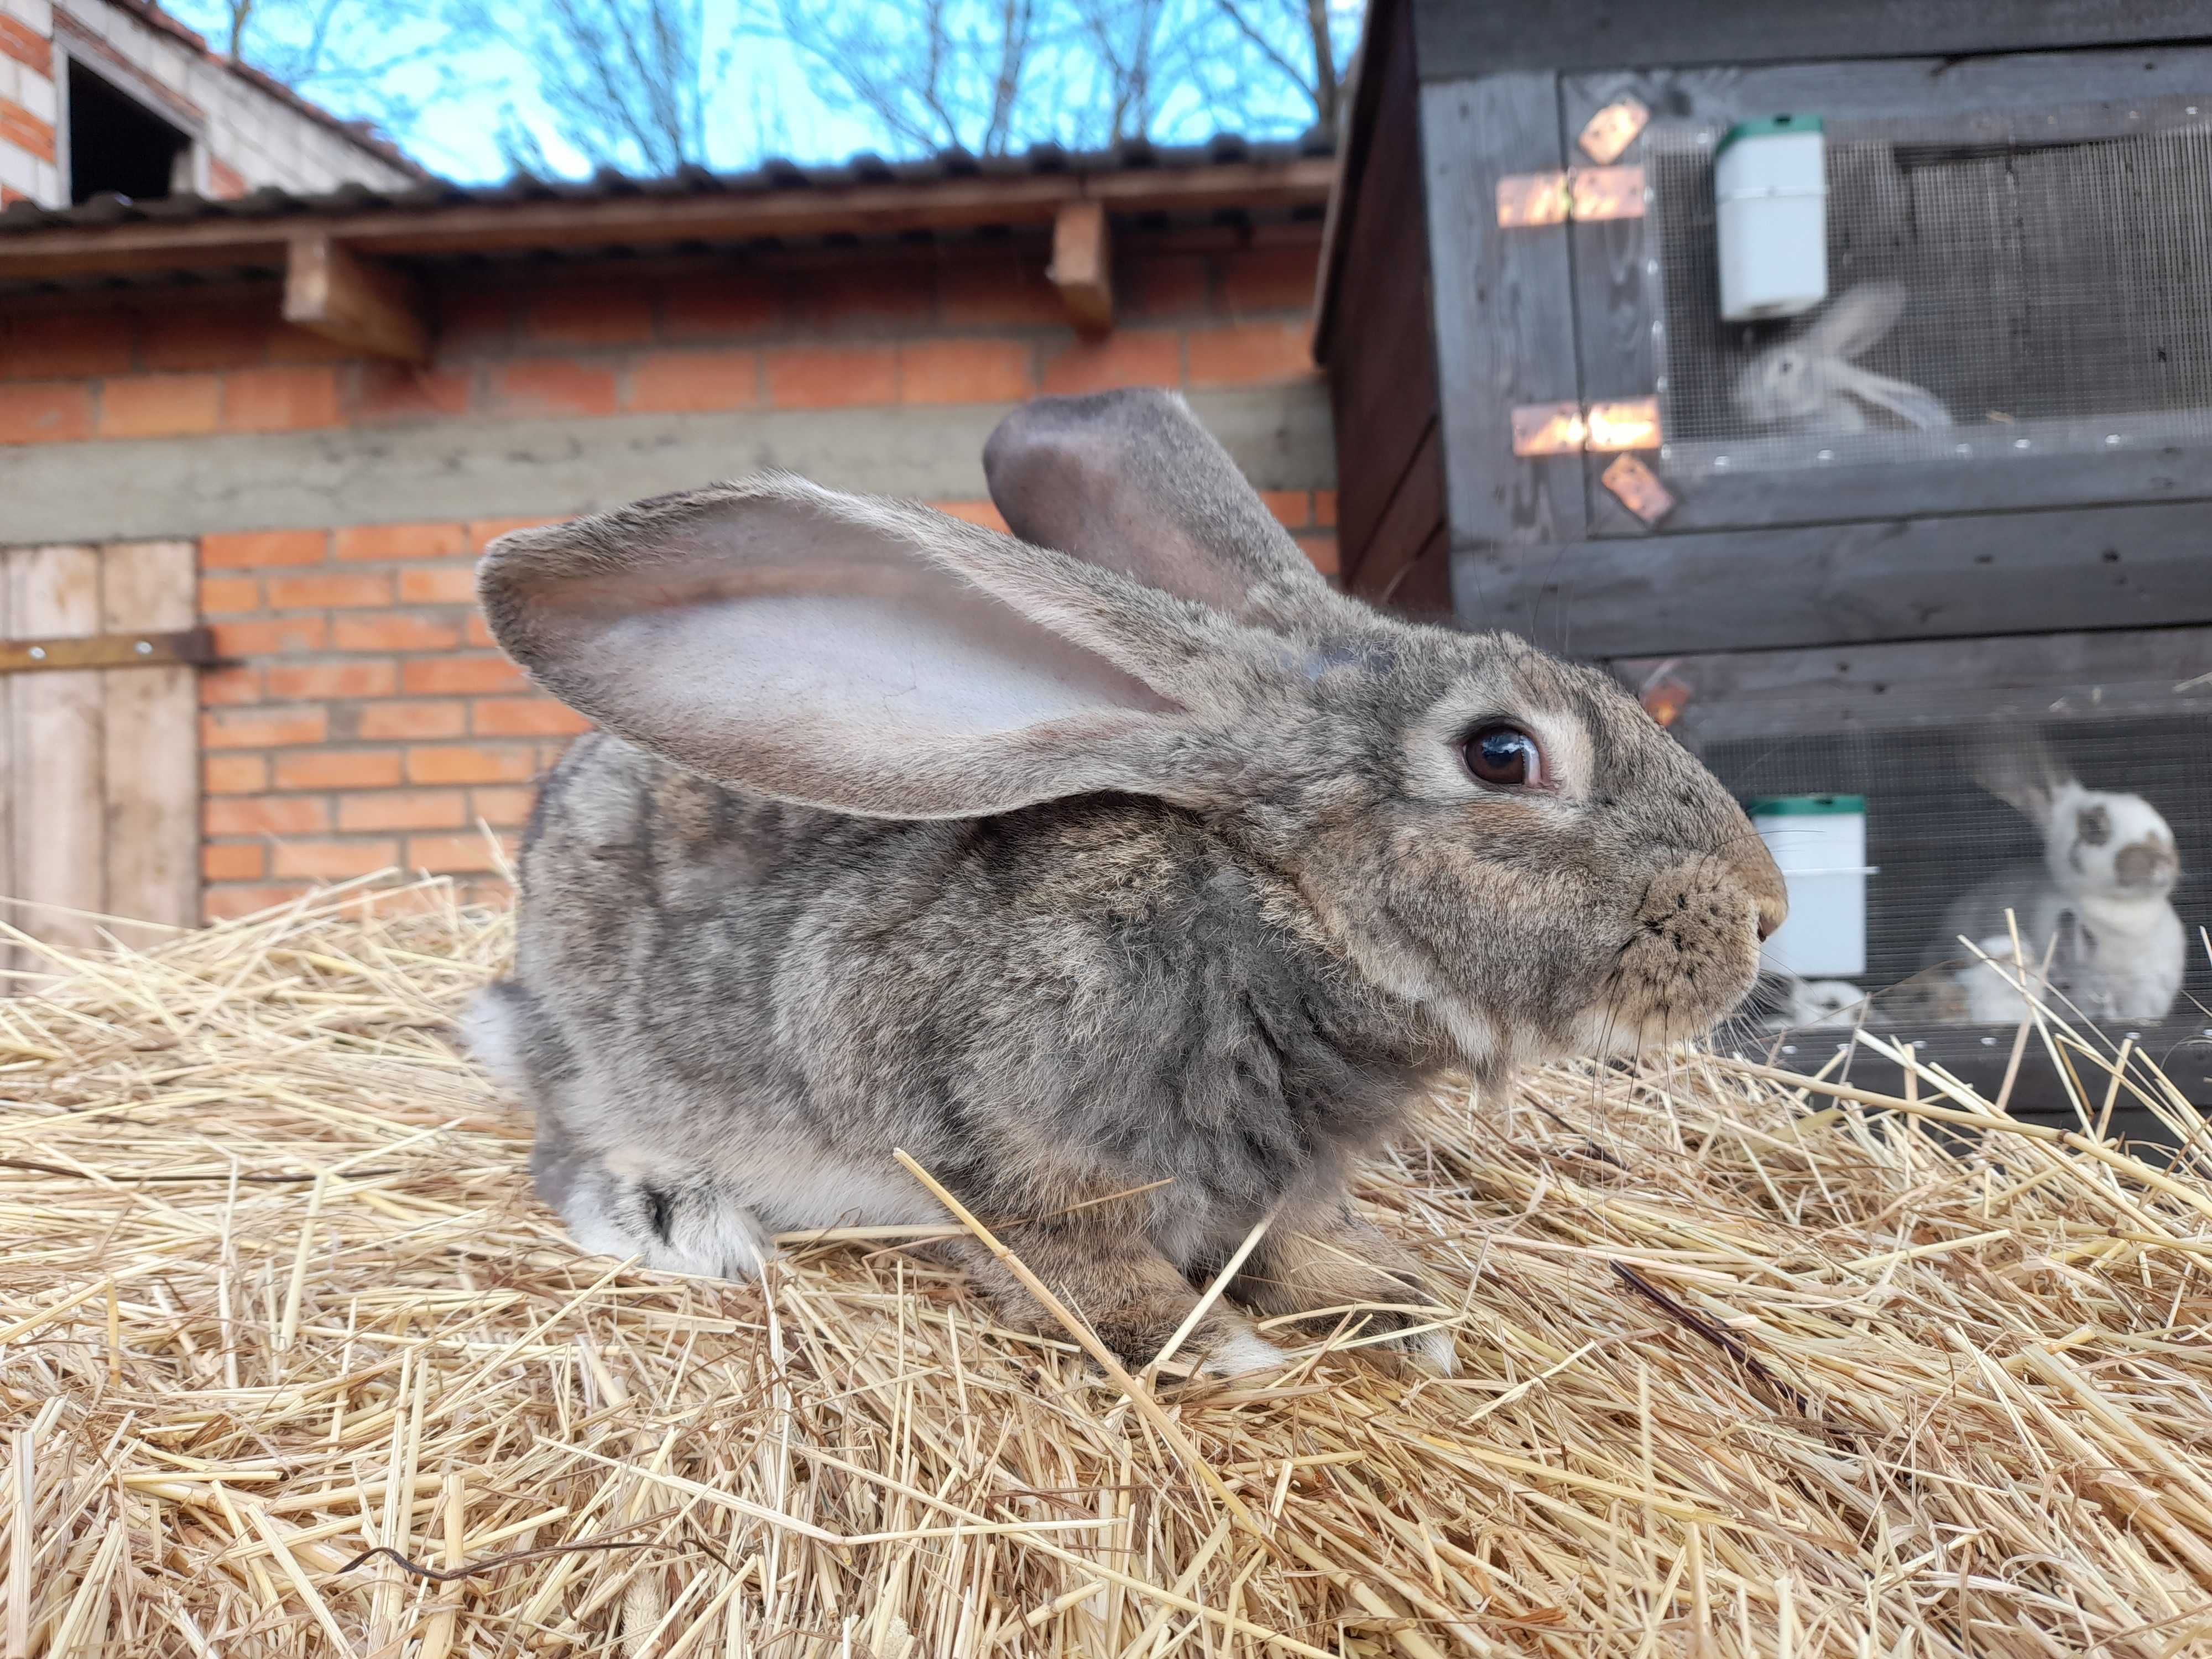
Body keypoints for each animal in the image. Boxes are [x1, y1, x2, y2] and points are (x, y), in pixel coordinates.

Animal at [471, 387, 1796, 1380]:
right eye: (1501, 755)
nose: (1765, 913)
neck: (1272, 913)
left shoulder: (1265, 1194)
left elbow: (1288, 1250)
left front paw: (1387, 1309)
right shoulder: (1007, 1158)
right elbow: (1079, 1270)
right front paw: (1207, 1348)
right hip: (612, 1071)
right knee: (564, 1147)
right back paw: (669, 1214)